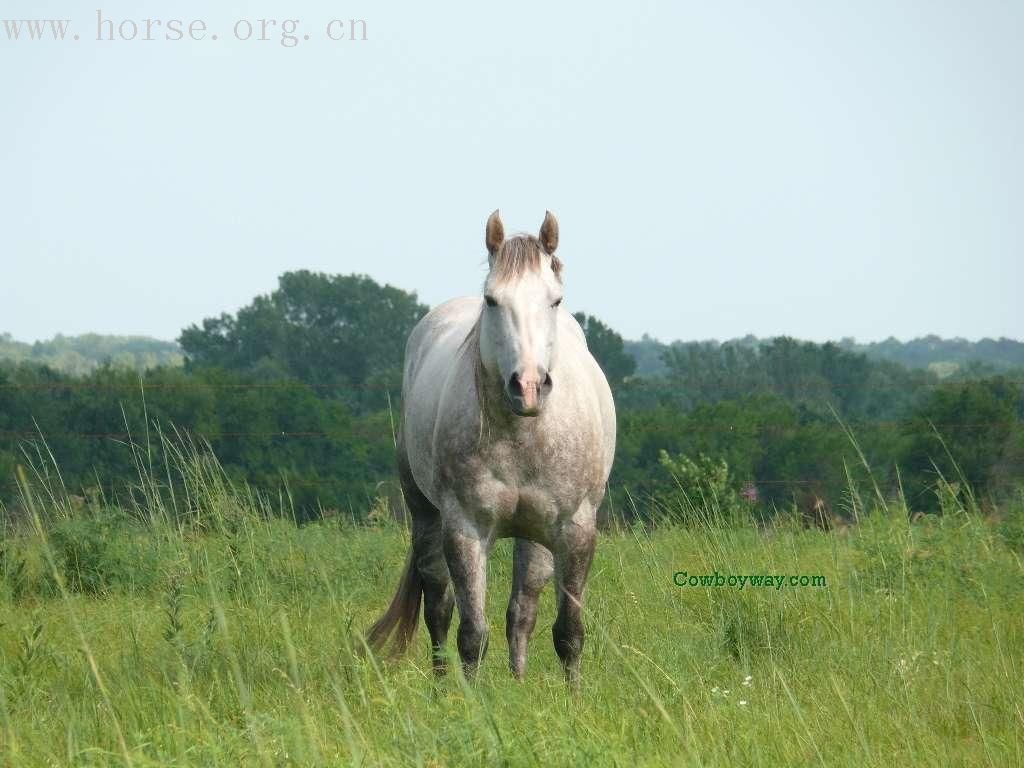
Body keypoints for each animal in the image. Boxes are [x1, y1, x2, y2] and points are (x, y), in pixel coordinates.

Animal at [372, 207, 618, 684]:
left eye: (555, 300)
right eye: (492, 301)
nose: (528, 386)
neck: (523, 435)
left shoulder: (575, 530)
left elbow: (568, 632)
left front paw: (573, 696)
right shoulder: (465, 528)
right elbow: (471, 633)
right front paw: (468, 698)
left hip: (535, 535)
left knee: (522, 612)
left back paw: (518, 680)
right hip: (425, 514)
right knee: (439, 608)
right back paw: (442, 684)